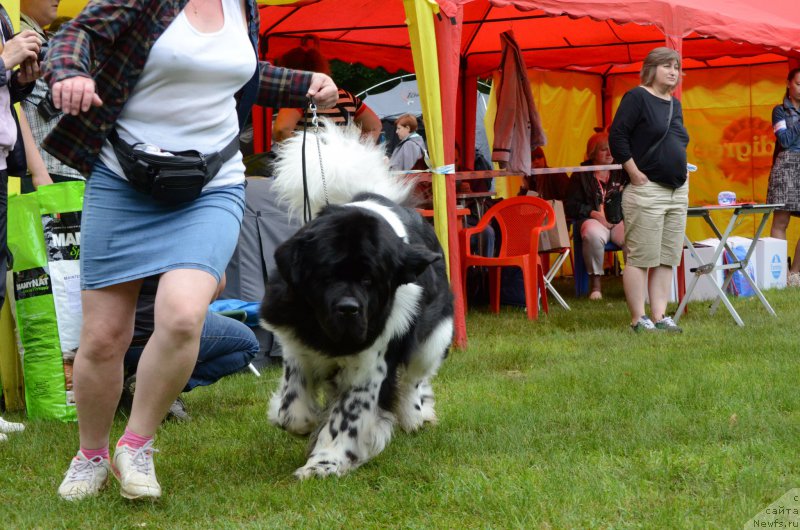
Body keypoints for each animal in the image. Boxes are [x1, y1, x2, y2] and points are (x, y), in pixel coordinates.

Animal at [260, 121, 454, 476]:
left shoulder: (370, 364)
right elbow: (291, 407)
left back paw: (414, 415)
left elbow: (347, 417)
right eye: (326, 275)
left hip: (435, 337)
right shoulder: (294, 342)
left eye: (369, 280)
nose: (348, 309)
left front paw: (324, 463)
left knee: (415, 378)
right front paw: (304, 420)